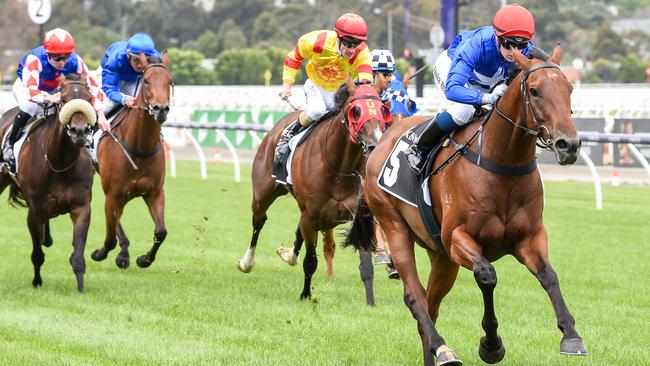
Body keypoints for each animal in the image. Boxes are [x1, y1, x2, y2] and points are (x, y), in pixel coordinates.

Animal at [0, 73, 97, 292]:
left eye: (89, 99)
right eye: (63, 100)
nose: (79, 132)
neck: (59, 163)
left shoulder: (81, 207)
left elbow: (78, 255)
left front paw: (80, 288)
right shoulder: (34, 212)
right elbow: (37, 255)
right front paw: (37, 282)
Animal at [91, 53, 173, 268]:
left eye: (169, 81)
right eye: (146, 80)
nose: (161, 109)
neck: (139, 147)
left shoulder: (155, 192)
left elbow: (161, 231)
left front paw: (144, 259)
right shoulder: (114, 193)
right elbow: (109, 238)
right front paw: (99, 253)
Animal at [238, 81, 390, 306]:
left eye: (382, 110)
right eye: (356, 111)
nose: (375, 145)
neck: (340, 167)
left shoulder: (356, 214)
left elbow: (366, 263)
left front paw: (371, 301)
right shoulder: (310, 216)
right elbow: (310, 260)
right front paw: (305, 295)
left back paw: (288, 255)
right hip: (263, 194)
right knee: (259, 221)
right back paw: (247, 262)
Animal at [344, 45, 588, 366]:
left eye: (569, 89)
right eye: (534, 91)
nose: (568, 145)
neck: (502, 165)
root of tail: (381, 142)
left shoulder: (529, 237)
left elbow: (549, 276)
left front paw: (571, 335)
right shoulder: (457, 238)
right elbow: (487, 275)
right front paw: (491, 344)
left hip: (441, 257)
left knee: (430, 304)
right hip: (395, 225)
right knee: (414, 296)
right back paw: (443, 348)